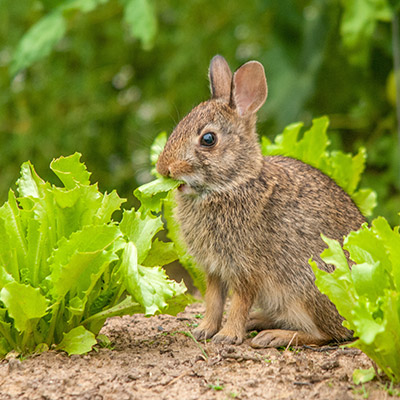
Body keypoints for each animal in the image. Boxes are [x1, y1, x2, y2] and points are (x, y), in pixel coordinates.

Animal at [155, 55, 366, 346]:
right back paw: (259, 322)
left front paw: (227, 336)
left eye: (208, 139)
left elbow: (239, 302)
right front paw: (204, 330)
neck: (232, 184)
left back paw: (272, 336)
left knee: (326, 334)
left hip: (309, 287)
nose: (164, 168)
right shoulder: (214, 269)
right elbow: (213, 300)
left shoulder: (246, 268)